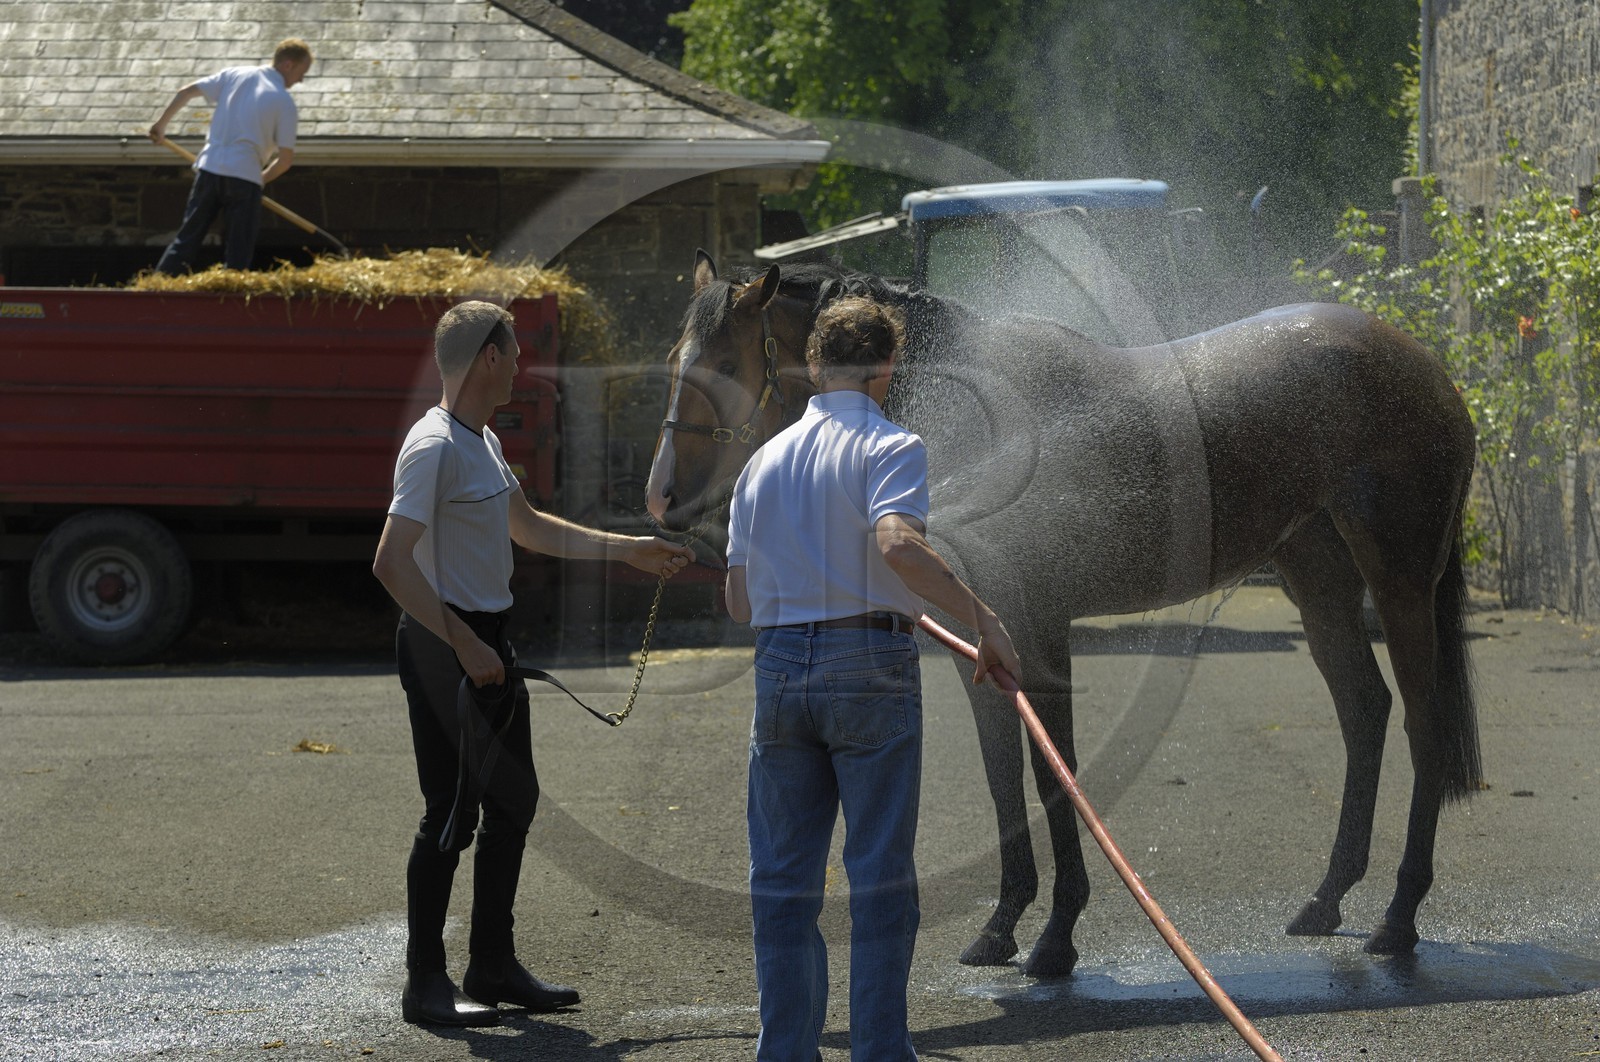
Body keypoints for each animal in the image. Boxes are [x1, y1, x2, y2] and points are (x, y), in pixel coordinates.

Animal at [645, 250, 1480, 976]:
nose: (661, 499)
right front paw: (1002, 926)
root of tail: (1429, 367)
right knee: (1364, 712)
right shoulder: (981, 641)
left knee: (1421, 722)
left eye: (725, 368)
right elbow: (1004, 776)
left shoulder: (1041, 629)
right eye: (674, 361)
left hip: (1400, 582)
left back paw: (1398, 919)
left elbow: (1055, 776)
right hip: (1319, 579)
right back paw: (1327, 899)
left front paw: (1055, 937)